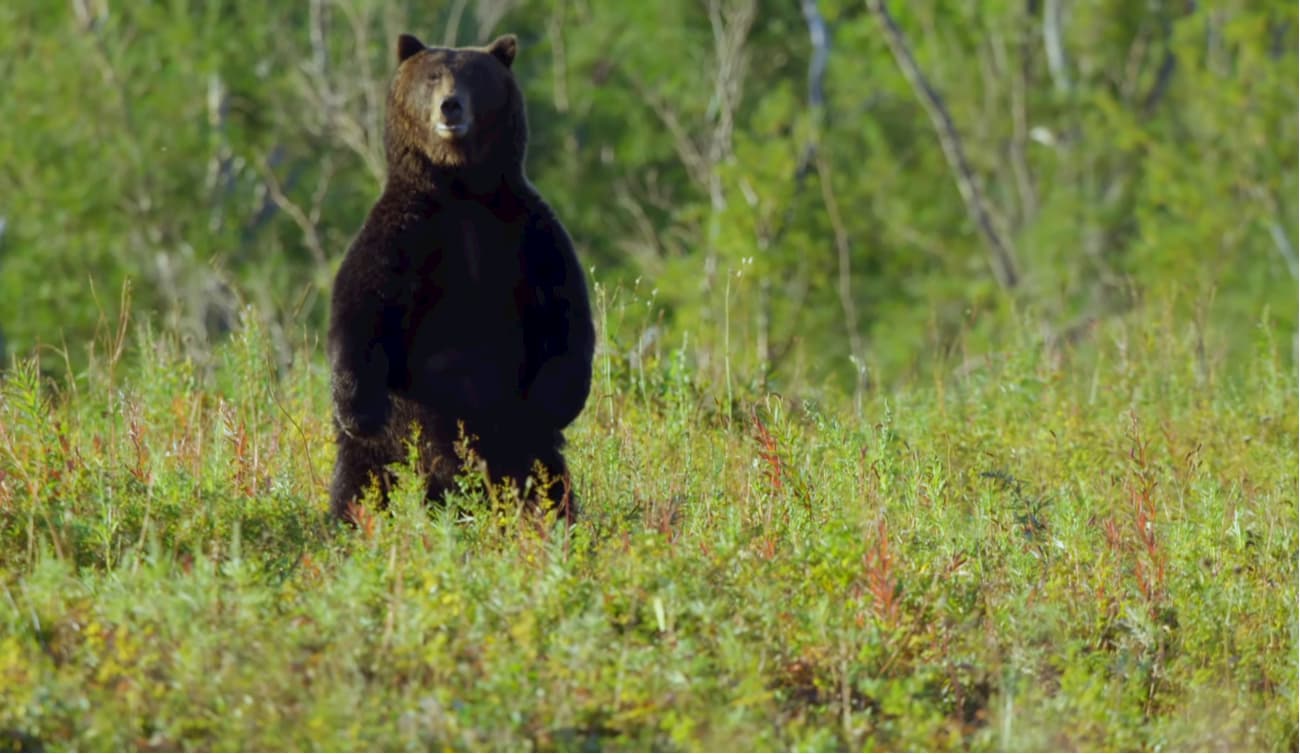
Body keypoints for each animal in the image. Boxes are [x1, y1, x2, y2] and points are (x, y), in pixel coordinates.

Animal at [327, 32, 595, 524]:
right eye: (433, 77)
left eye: (473, 76)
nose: (450, 107)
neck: (460, 188)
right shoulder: (404, 232)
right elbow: (361, 309)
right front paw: (358, 411)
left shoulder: (527, 233)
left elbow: (565, 313)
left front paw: (558, 399)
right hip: (400, 442)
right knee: (362, 483)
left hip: (519, 442)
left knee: (548, 482)